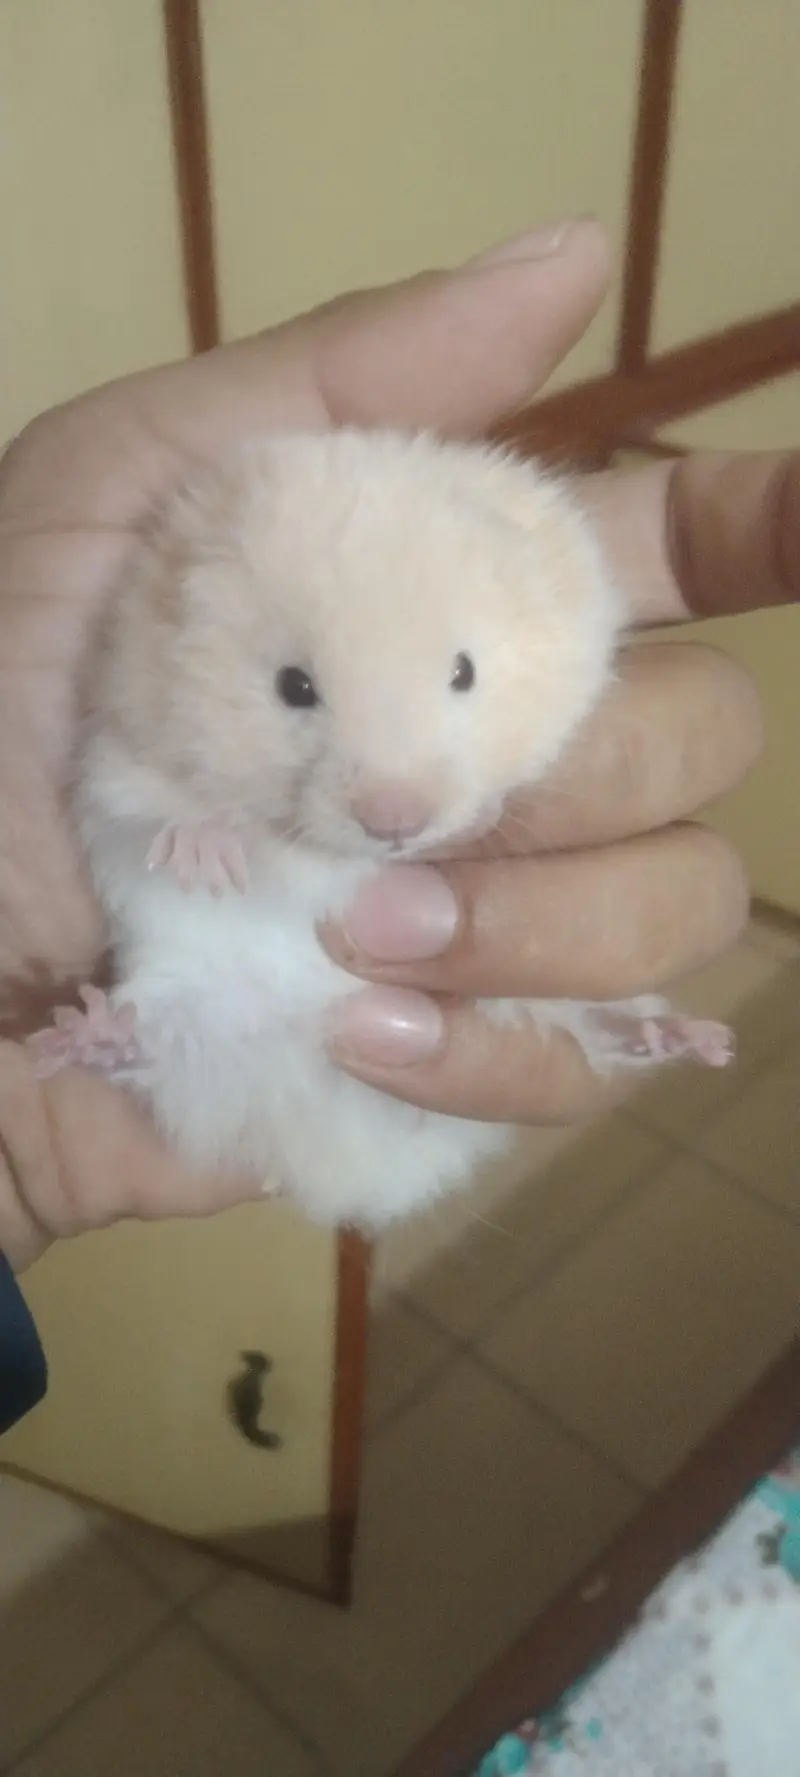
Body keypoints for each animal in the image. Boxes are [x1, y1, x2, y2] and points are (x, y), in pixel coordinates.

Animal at [28, 428, 733, 1229]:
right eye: (294, 686)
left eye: (464, 671)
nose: (396, 822)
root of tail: (366, 1169)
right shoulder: (114, 753)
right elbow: (151, 809)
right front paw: (209, 860)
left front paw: (488, 812)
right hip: (194, 1012)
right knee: (146, 1050)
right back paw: (84, 1033)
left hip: (545, 1000)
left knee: (595, 1026)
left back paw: (691, 1039)